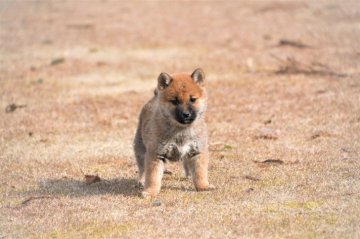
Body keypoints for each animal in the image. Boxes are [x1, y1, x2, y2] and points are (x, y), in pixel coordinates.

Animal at [134, 68, 214, 197]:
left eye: (193, 99)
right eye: (175, 101)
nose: (186, 114)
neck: (181, 130)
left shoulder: (197, 151)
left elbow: (200, 173)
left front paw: (203, 187)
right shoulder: (155, 154)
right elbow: (152, 177)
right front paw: (150, 192)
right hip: (140, 149)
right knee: (142, 169)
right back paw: (141, 181)